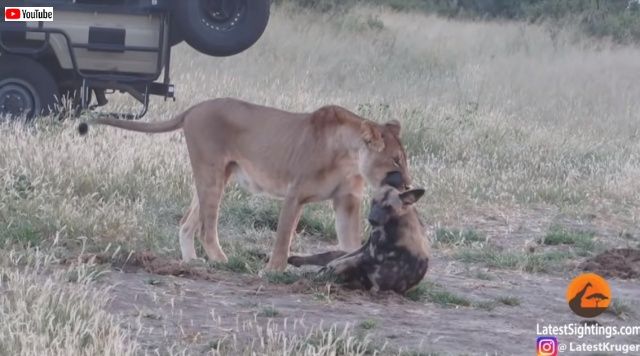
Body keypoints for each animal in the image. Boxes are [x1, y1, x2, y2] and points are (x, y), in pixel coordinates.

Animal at [288, 185, 430, 294]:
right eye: (374, 202)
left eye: (388, 207)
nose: (372, 219)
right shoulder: (365, 249)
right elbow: (331, 261)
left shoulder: (370, 255)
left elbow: (335, 264)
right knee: (329, 257)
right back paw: (298, 264)